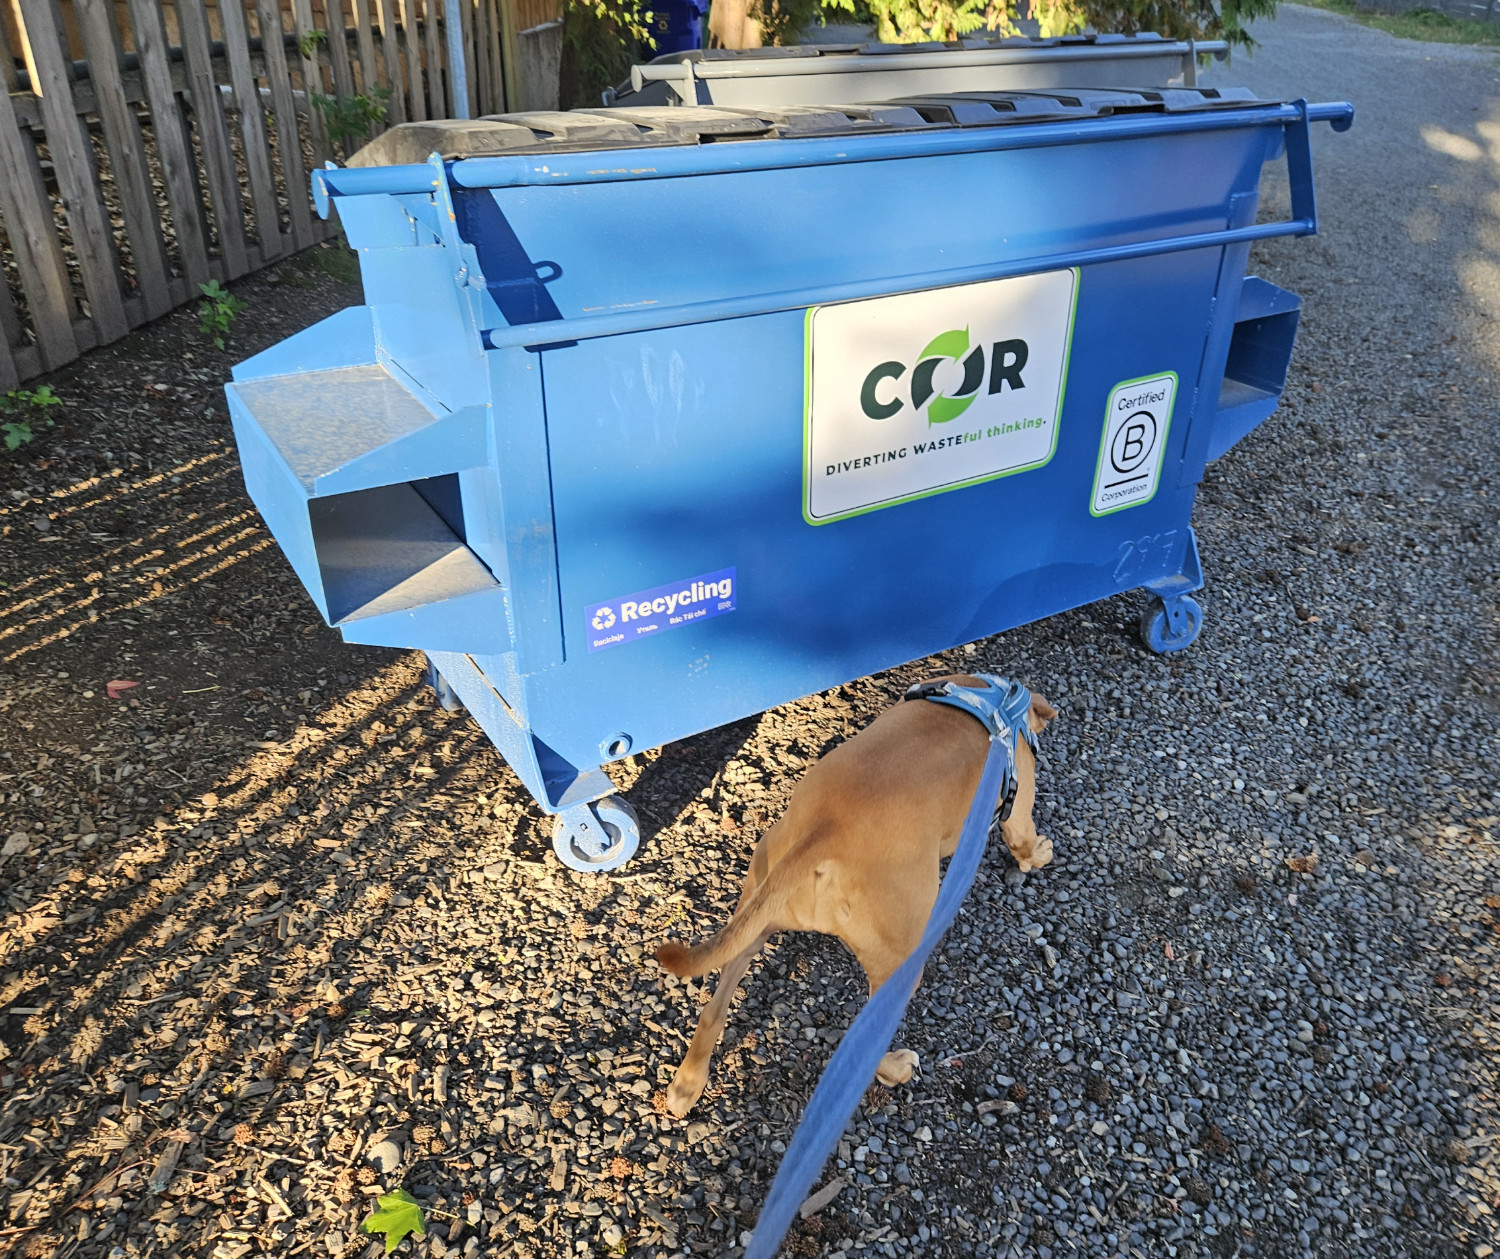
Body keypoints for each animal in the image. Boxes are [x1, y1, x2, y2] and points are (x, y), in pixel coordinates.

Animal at [657, 675, 1056, 1116]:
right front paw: (1039, 854)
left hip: (751, 920)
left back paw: (687, 1084)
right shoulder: (1018, 808)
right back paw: (895, 1068)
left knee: (713, 1010)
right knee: (865, 1045)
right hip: (899, 960)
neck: (993, 698)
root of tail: (824, 830)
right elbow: (1023, 841)